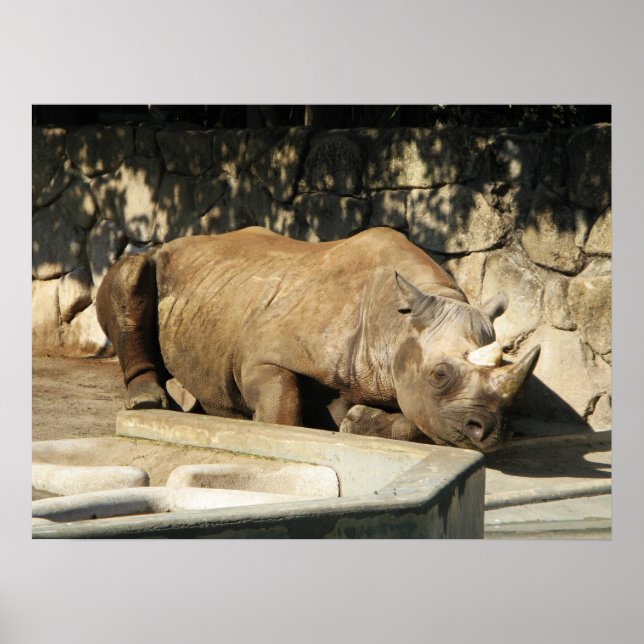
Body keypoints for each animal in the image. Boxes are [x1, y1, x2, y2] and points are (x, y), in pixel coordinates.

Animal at [96, 226, 539, 452]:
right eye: (440, 375)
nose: (491, 431)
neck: (395, 325)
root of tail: (176, 242)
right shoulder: (262, 356)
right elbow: (282, 404)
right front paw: (275, 429)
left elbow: (422, 422)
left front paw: (358, 420)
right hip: (158, 260)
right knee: (131, 272)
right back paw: (149, 403)